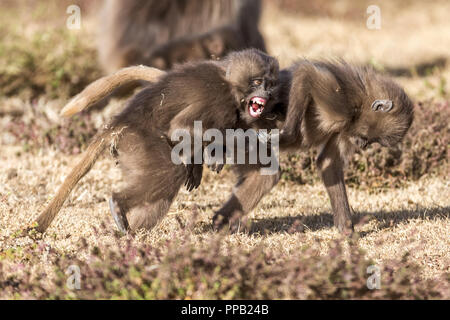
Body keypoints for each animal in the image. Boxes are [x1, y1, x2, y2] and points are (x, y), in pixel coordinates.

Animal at [213, 60, 414, 235]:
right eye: (371, 138)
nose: (363, 145)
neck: (360, 103)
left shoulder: (347, 128)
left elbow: (328, 164)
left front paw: (347, 230)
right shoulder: (340, 104)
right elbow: (306, 74)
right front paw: (287, 134)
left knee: (265, 176)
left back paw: (220, 221)